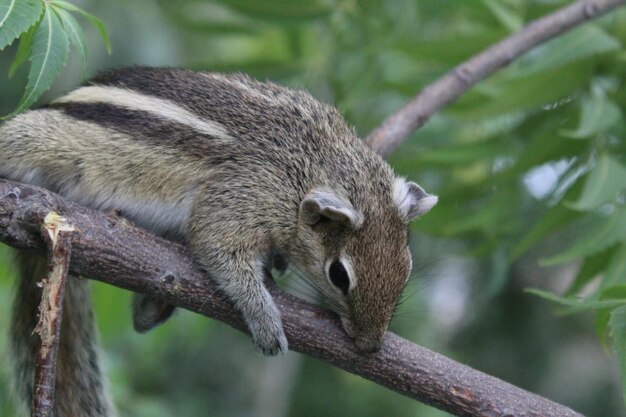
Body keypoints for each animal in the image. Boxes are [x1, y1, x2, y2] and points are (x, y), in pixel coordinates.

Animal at [0, 66, 436, 414]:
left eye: (407, 266)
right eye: (339, 275)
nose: (370, 345)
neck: (309, 165)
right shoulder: (243, 197)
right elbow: (216, 245)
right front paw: (265, 318)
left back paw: (155, 305)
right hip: (33, 136)